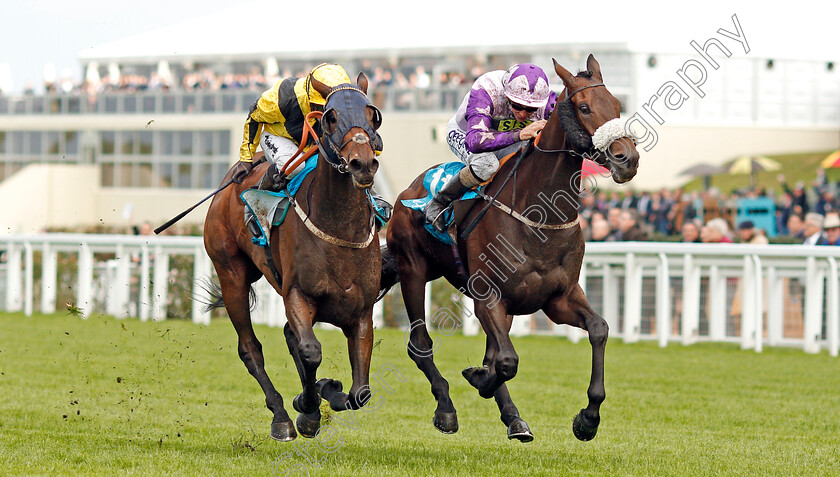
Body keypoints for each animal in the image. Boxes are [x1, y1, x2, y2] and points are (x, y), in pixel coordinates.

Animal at [205, 72, 382, 440]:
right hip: (230, 273)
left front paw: (324, 393)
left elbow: (360, 392)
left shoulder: (361, 312)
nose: (362, 163)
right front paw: (308, 408)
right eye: (330, 117)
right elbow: (310, 351)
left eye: (372, 115)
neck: (340, 227)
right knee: (250, 348)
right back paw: (282, 417)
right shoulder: (299, 294)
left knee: (288, 335)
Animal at [384, 54, 640, 440]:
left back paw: (513, 417)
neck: (540, 216)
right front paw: (477, 380)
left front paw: (588, 418)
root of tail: (408, 190)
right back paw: (446, 409)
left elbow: (599, 329)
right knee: (421, 345)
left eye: (617, 106)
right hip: (412, 271)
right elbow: (506, 361)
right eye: (583, 107)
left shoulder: (559, 297)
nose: (628, 158)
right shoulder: (488, 294)